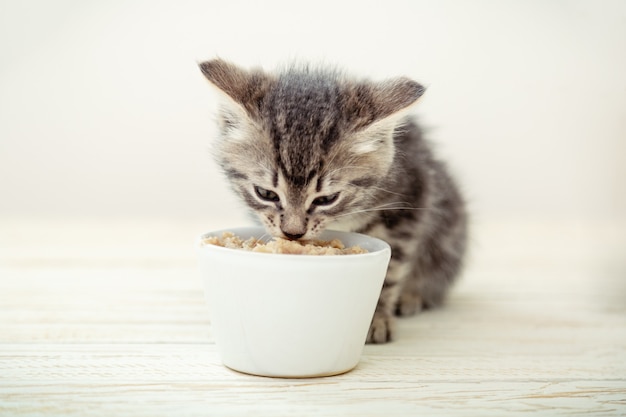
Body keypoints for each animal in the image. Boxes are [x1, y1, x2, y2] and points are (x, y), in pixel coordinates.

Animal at [197, 59, 466, 344]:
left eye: (326, 199)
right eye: (266, 194)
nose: (293, 233)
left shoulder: (410, 199)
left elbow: (391, 269)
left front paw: (377, 318)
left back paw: (413, 296)